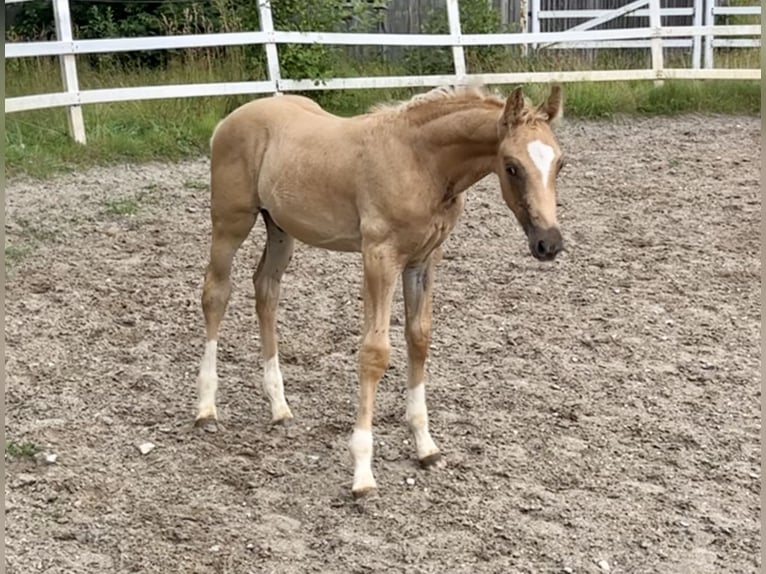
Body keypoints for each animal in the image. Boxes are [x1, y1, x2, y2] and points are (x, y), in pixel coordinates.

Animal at [195, 85, 568, 500]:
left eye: (560, 164)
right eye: (512, 166)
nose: (549, 244)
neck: (422, 161)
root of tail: (230, 119)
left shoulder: (423, 260)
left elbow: (419, 338)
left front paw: (426, 447)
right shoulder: (379, 257)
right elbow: (375, 353)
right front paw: (362, 474)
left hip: (279, 227)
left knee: (266, 290)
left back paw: (279, 407)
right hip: (230, 221)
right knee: (216, 293)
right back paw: (206, 410)